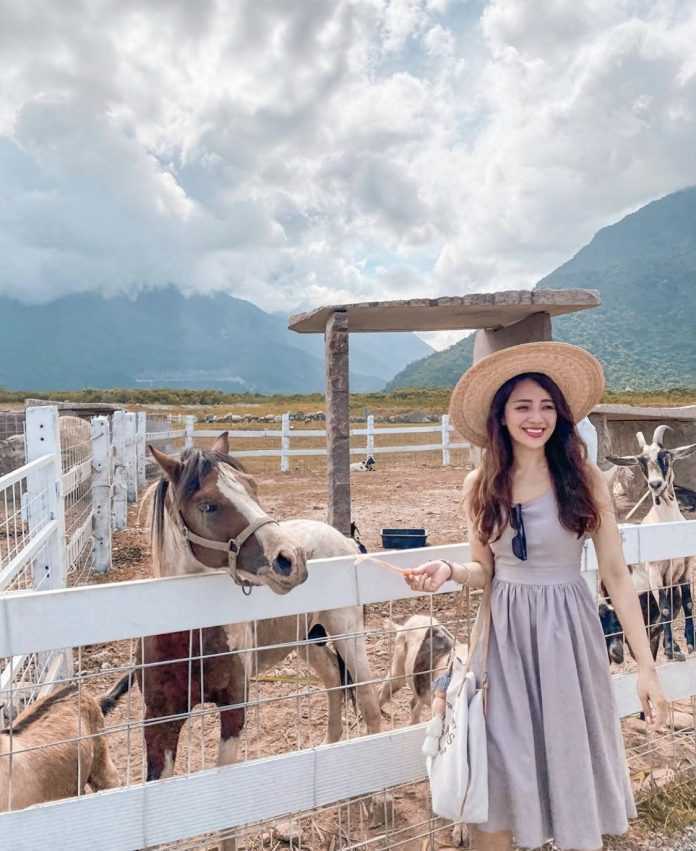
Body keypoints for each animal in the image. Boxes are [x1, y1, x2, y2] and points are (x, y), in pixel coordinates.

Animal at [139, 436, 384, 788]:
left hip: (347, 634)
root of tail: (345, 541)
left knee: (366, 696)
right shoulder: (160, 720)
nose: (290, 559)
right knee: (333, 678)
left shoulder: (233, 708)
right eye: (208, 505)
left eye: (252, 487)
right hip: (308, 639)